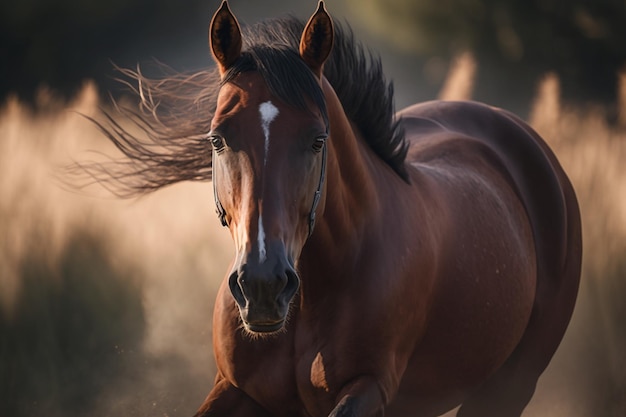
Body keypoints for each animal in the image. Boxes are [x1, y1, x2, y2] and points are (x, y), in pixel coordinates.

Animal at [84, 1, 580, 414]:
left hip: (509, 385)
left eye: (317, 139)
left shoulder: (369, 387)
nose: (263, 286)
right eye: (218, 138)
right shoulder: (234, 388)